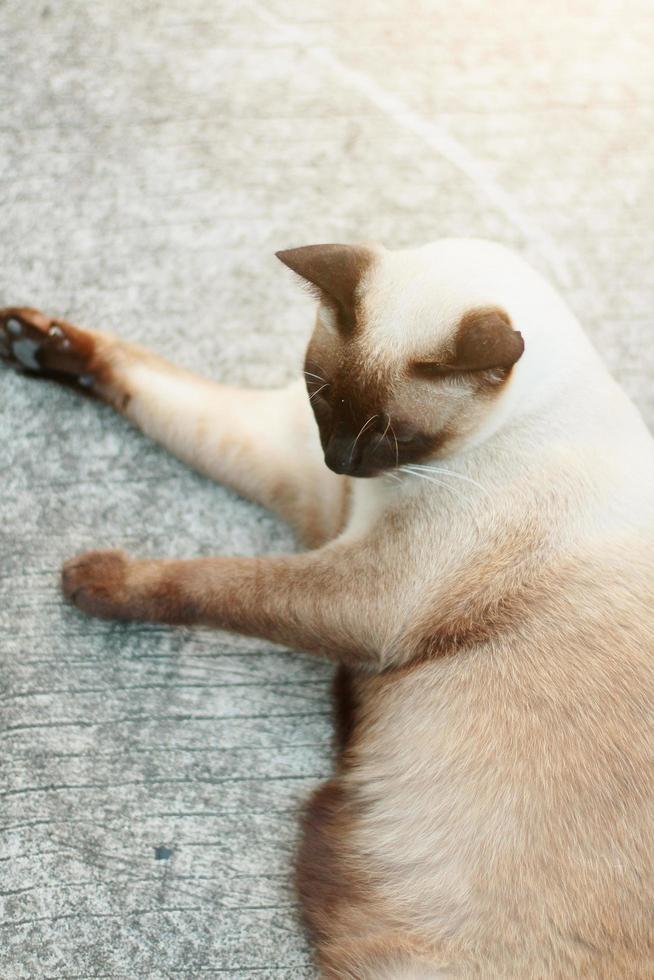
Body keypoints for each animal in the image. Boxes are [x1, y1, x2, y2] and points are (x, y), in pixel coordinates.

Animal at [1, 239, 654, 980]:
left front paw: (94, 579)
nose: (341, 460)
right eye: (321, 395)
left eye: (396, 437)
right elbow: (147, 378)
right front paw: (35, 341)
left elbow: (210, 579)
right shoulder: (307, 481)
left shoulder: (369, 588)